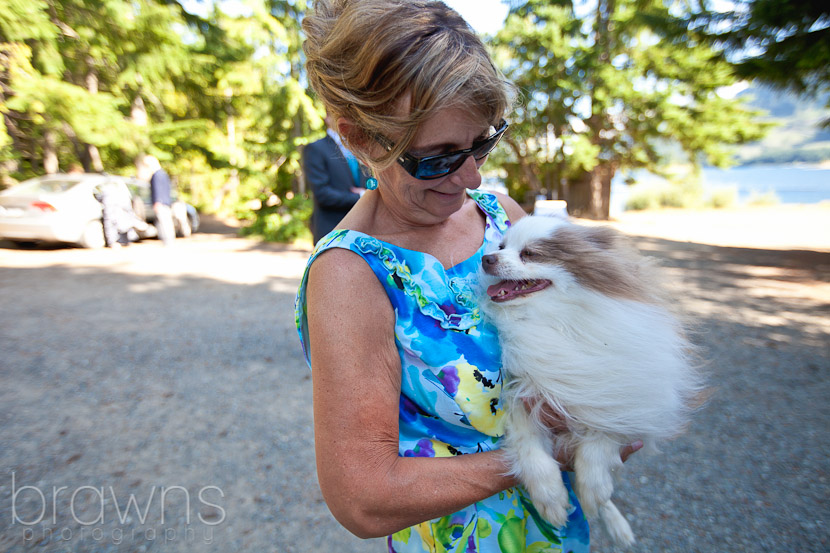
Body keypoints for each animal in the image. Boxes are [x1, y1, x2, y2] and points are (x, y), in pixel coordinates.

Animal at [480, 215, 704, 544]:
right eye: (500, 247)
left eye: (530, 254)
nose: (486, 259)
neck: (555, 321)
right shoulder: (521, 393)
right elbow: (530, 448)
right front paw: (550, 497)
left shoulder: (614, 393)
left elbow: (601, 438)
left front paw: (593, 488)